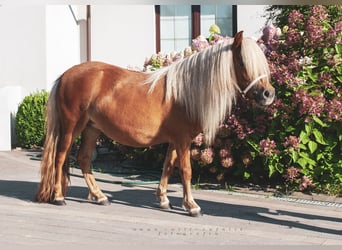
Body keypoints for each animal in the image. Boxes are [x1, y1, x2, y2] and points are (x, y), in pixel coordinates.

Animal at [36, 30, 274, 215]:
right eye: (243, 62)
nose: (268, 94)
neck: (184, 93)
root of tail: (65, 75)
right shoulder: (182, 140)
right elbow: (186, 170)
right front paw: (192, 206)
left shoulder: (175, 140)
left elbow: (167, 166)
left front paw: (164, 200)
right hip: (71, 126)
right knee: (60, 157)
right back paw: (59, 196)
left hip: (92, 129)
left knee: (84, 159)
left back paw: (100, 195)